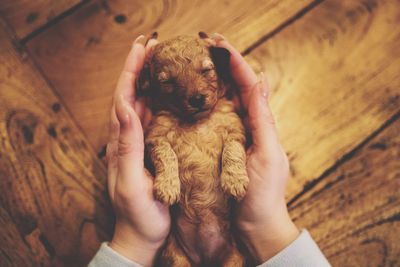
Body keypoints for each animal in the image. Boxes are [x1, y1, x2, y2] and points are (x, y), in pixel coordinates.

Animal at [139, 32, 248, 266]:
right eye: (167, 82)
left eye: (206, 70)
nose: (197, 99)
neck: (196, 120)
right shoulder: (156, 137)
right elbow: (166, 155)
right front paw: (168, 187)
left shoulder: (235, 128)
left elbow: (233, 150)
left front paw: (234, 182)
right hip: (175, 255)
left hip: (234, 257)